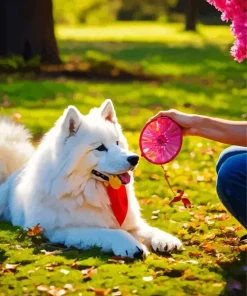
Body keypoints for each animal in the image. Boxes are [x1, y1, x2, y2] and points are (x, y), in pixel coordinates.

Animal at [0, 99, 181, 256]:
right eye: (100, 148)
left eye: (117, 143)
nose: (134, 158)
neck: (87, 190)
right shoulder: (65, 229)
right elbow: (112, 232)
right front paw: (131, 245)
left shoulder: (131, 224)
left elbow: (147, 229)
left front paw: (166, 239)